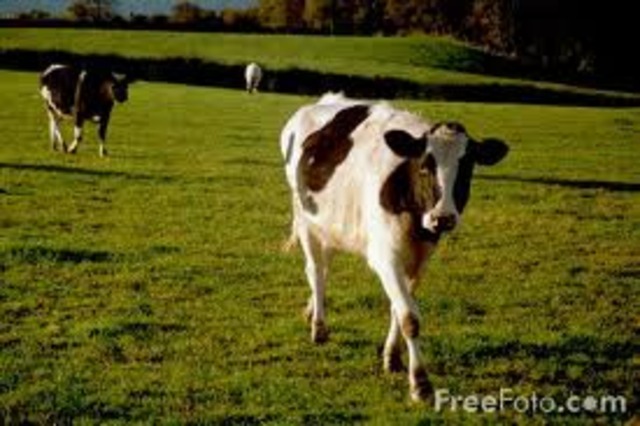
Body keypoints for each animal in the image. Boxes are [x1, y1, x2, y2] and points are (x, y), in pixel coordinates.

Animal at [280, 93, 509, 401]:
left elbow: (398, 308)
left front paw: (392, 357)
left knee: (324, 268)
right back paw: (319, 326)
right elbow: (410, 317)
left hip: (330, 222)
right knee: (315, 271)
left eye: (467, 168)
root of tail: (323, 101)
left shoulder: (419, 259)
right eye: (424, 166)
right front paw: (421, 383)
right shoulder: (385, 257)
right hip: (305, 217)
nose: (443, 218)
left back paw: (310, 311)